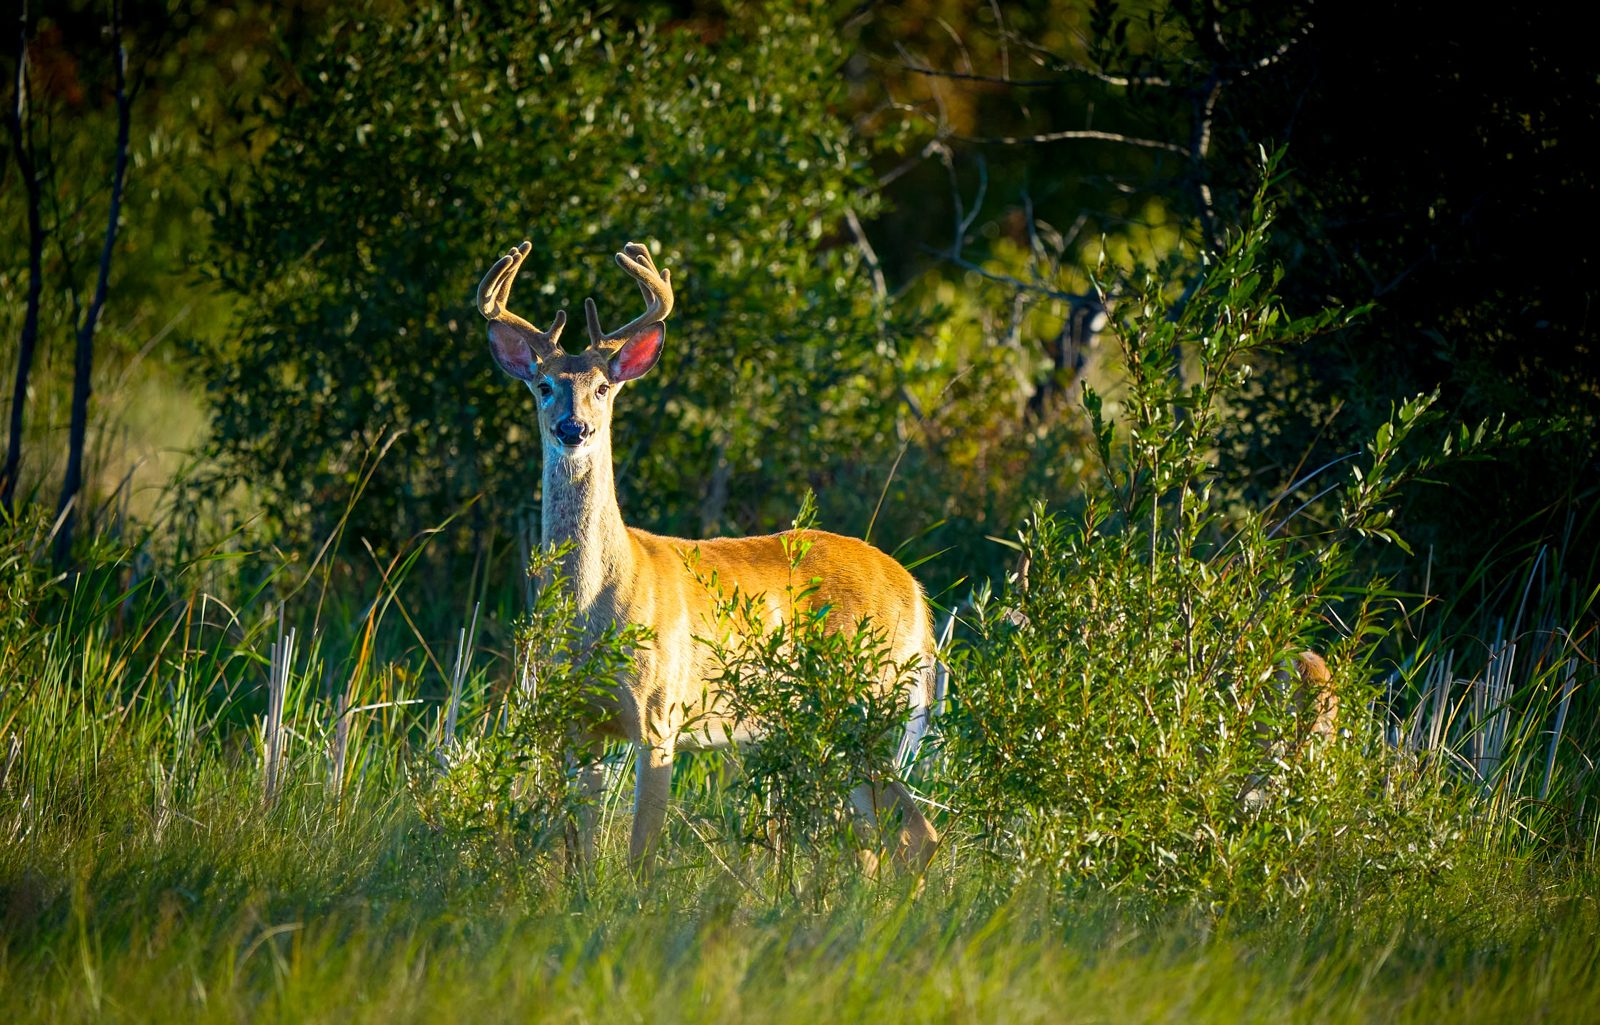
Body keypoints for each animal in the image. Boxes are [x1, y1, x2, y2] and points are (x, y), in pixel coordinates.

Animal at [477, 239, 940, 876]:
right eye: (545, 385)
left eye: (602, 387)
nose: (574, 428)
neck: (596, 604)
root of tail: (918, 596)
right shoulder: (577, 723)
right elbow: (580, 853)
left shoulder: (660, 712)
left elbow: (642, 854)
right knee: (876, 839)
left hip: (866, 701)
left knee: (917, 835)